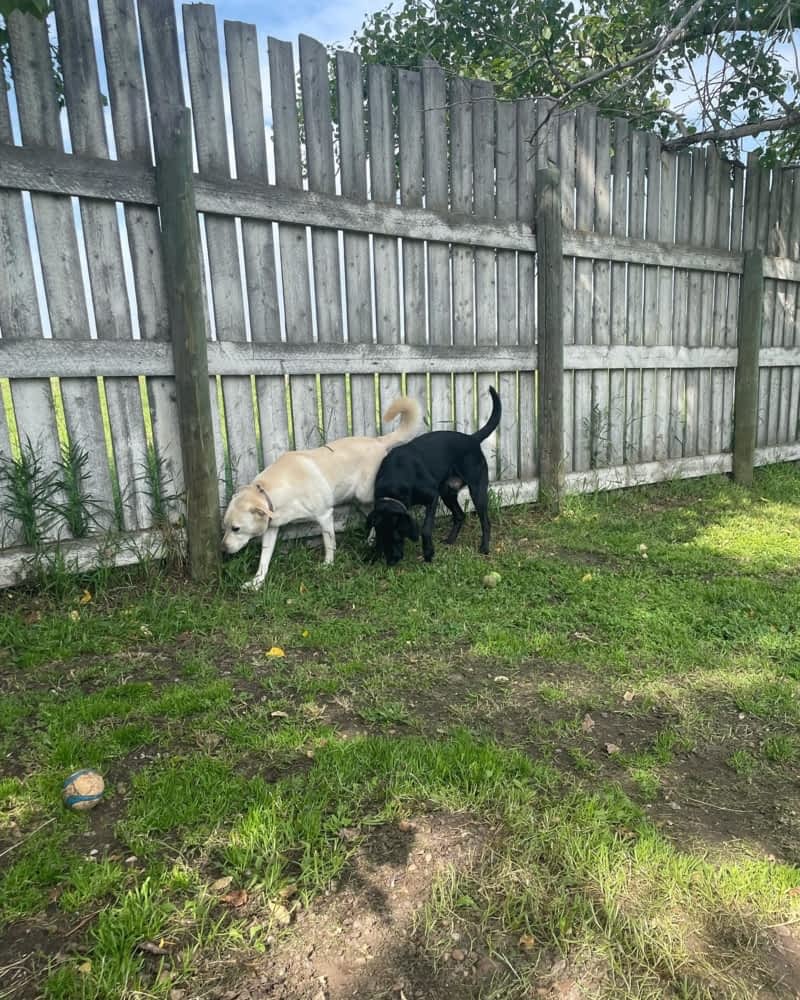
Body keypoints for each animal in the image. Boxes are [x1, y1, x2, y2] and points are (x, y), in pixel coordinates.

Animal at [368, 386, 500, 568]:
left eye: (398, 538)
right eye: (382, 539)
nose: (392, 561)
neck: (394, 481)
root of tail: (471, 439)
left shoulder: (432, 497)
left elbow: (425, 528)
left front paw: (428, 553)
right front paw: (373, 555)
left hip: (477, 490)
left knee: (485, 522)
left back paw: (484, 547)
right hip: (447, 492)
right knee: (460, 516)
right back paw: (450, 540)